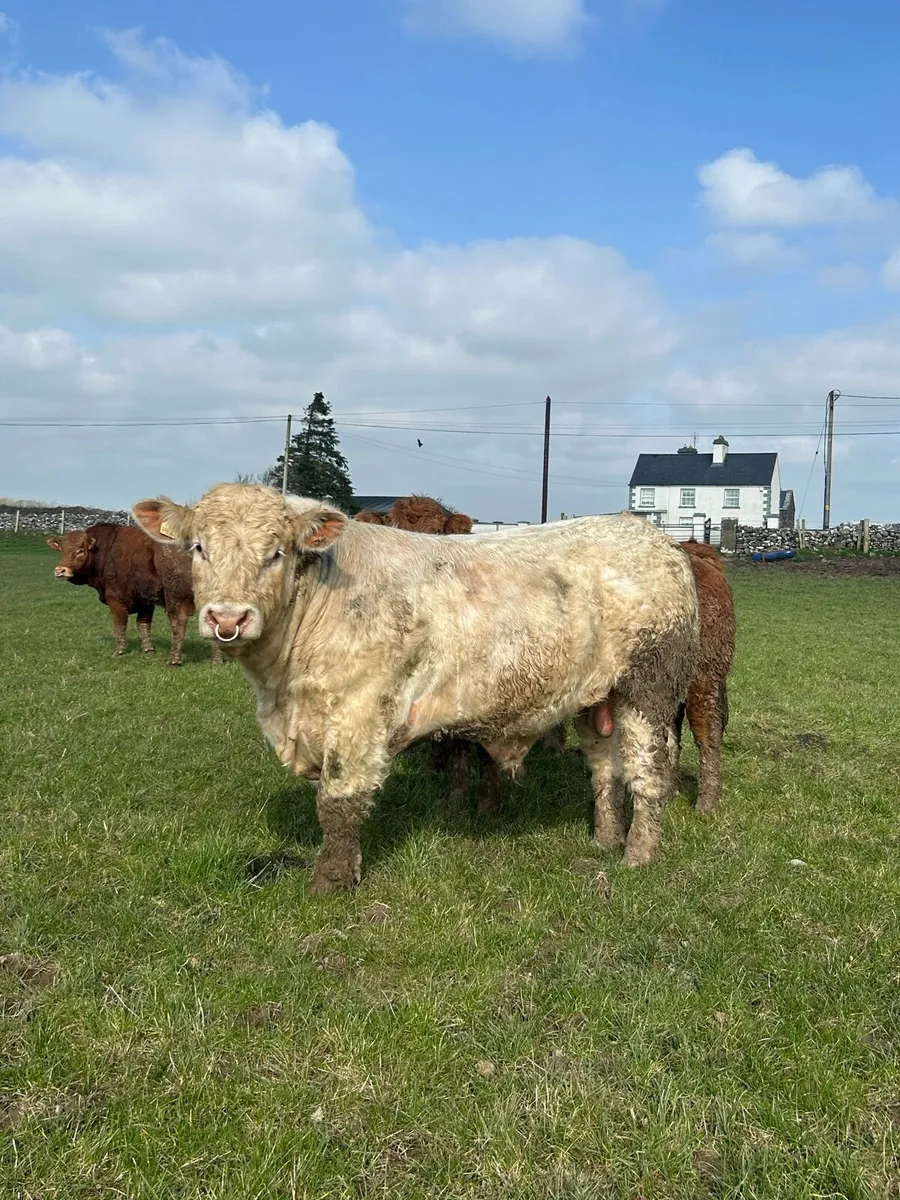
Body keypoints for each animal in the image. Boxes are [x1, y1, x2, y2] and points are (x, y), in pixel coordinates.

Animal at [47, 524, 222, 666]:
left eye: (80, 551)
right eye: (61, 550)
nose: (60, 570)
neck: (108, 549)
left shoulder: (115, 599)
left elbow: (120, 624)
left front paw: (118, 651)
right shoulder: (145, 600)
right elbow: (143, 624)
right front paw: (148, 650)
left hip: (175, 597)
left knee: (178, 624)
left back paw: (174, 660)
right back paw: (217, 660)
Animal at [133, 484, 699, 893]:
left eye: (276, 553)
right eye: (199, 548)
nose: (228, 618)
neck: (282, 690)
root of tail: (649, 535)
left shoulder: (358, 711)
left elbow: (338, 801)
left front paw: (329, 885)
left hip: (648, 687)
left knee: (649, 772)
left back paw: (638, 856)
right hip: (597, 696)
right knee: (604, 770)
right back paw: (604, 840)